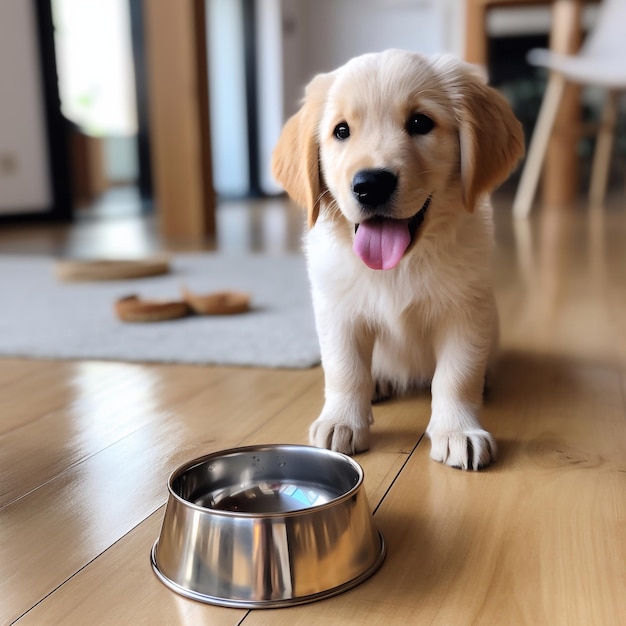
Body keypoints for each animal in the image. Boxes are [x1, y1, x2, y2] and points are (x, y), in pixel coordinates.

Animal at [272, 48, 520, 468]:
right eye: (341, 131)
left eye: (420, 122)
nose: (370, 184)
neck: (400, 265)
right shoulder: (337, 310)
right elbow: (344, 369)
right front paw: (341, 421)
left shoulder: (466, 310)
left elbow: (458, 374)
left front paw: (458, 430)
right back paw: (379, 381)